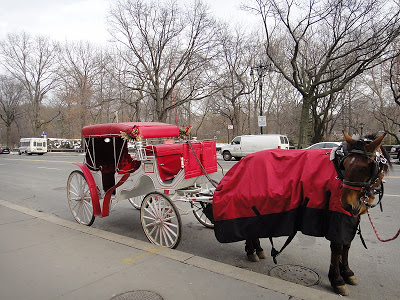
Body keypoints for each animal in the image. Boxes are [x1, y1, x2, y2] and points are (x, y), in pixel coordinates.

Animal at [212, 131, 390, 296]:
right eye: (345, 164)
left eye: (365, 167)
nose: (346, 203)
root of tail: (242, 161)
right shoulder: (337, 215)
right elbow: (338, 246)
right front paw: (337, 279)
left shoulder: (351, 216)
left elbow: (346, 245)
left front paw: (347, 272)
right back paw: (252, 251)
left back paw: (256, 250)